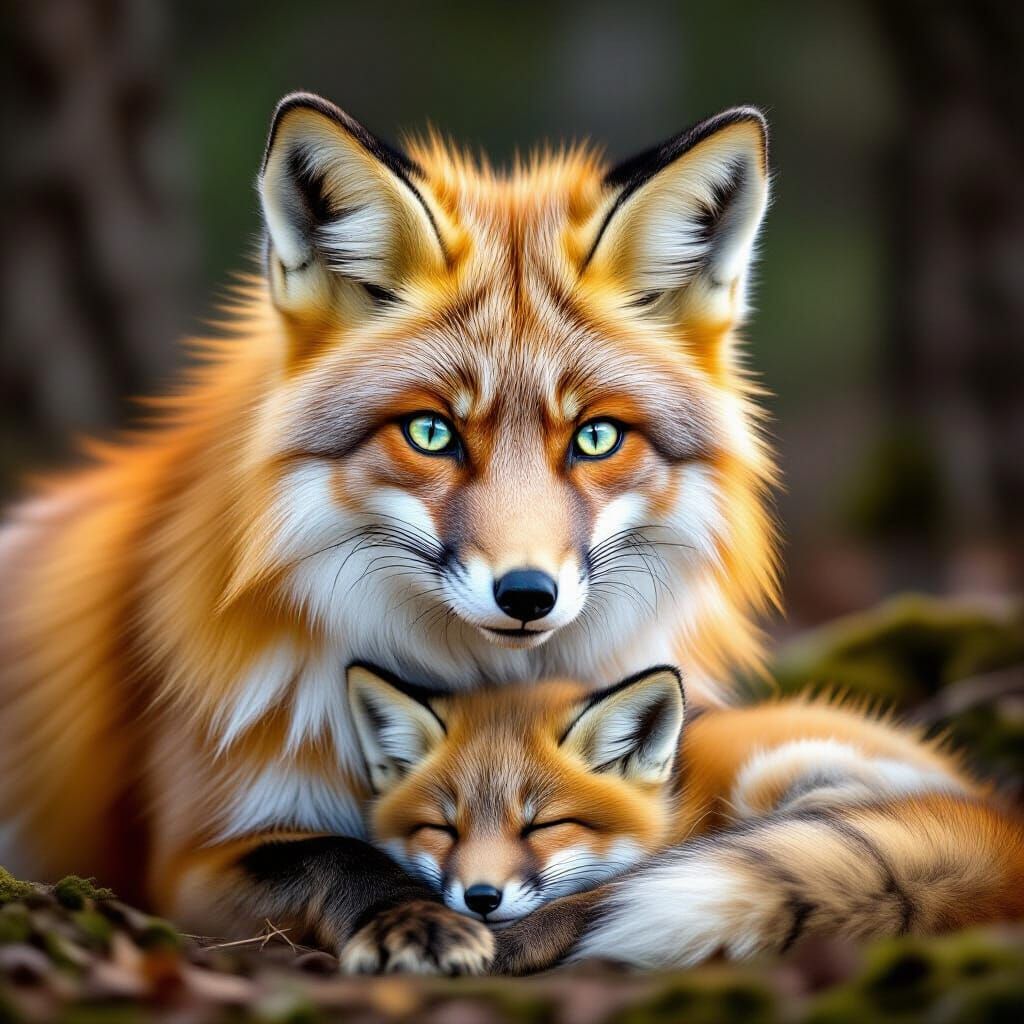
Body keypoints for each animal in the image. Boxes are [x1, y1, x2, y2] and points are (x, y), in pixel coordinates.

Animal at [346, 663, 1024, 973]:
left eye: (542, 826)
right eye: (443, 829)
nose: (481, 898)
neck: (678, 802)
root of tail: (994, 815)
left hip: (780, 774)